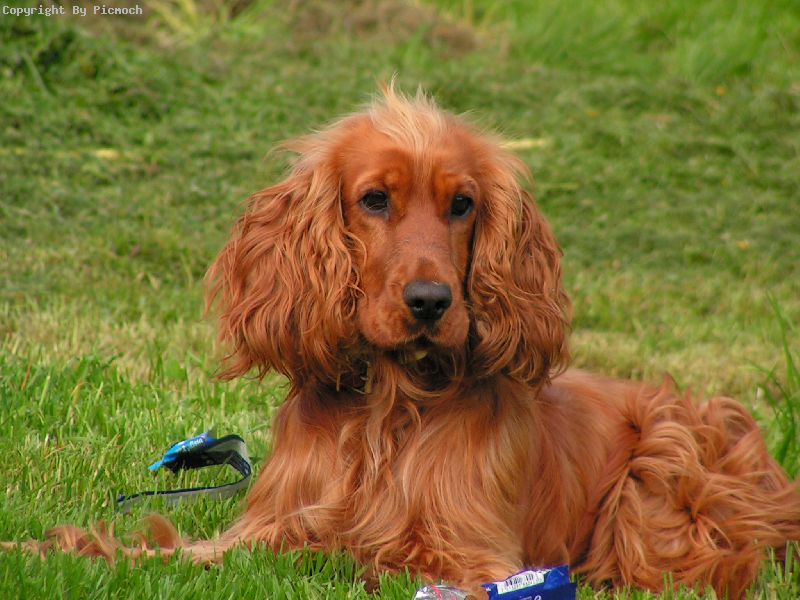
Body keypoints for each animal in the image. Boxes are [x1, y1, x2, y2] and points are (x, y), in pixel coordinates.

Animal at [6, 86, 800, 598]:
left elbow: (367, 557)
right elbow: (161, 551)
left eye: (463, 204)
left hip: (668, 460)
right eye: (375, 199)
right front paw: (47, 549)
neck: (387, 410)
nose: (431, 302)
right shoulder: (267, 528)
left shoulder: (468, 557)